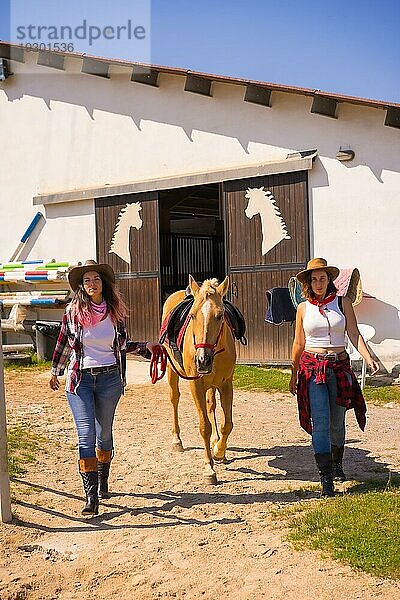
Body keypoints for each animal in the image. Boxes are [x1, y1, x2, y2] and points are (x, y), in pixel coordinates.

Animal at [161, 274, 236, 486]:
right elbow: (204, 427)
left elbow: (228, 424)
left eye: (220, 316)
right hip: (172, 372)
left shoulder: (226, 384)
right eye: (193, 315)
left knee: (211, 405)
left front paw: (219, 451)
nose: (203, 360)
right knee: (174, 399)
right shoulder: (196, 385)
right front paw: (209, 469)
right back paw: (177, 441)